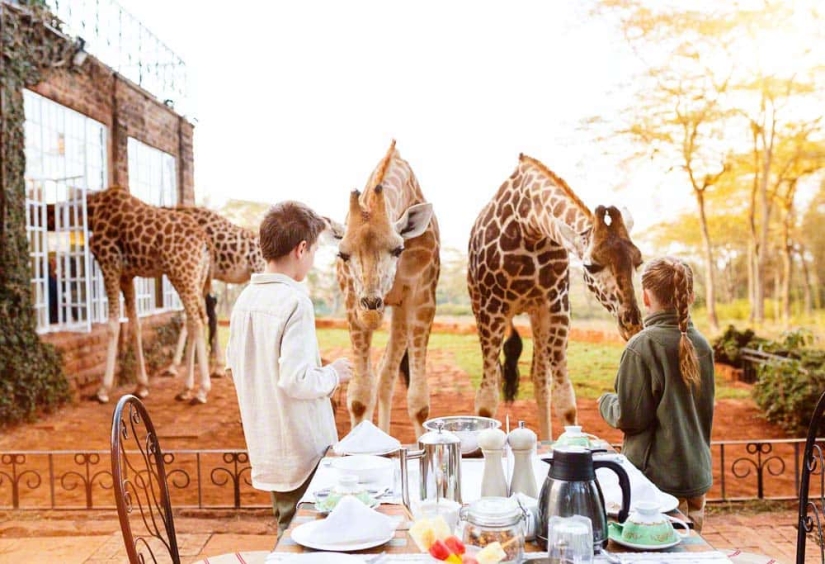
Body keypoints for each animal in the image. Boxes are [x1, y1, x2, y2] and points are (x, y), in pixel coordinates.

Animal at [82, 187, 214, 404]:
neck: (92, 211)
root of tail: (205, 242)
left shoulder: (108, 263)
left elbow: (112, 326)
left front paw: (103, 390)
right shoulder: (127, 275)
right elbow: (135, 324)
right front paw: (142, 386)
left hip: (182, 273)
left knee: (197, 320)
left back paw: (202, 391)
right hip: (197, 278)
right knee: (196, 319)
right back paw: (186, 389)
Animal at [330, 141, 440, 438]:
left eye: (398, 249)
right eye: (342, 254)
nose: (371, 308)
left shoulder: (421, 300)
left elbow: (420, 404)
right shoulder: (351, 300)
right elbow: (358, 397)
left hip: (401, 311)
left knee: (386, 375)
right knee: (381, 376)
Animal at [467, 154, 644, 440]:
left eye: (638, 261)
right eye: (590, 266)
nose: (631, 323)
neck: (530, 227)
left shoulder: (556, 305)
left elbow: (565, 400)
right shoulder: (492, 307)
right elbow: (485, 404)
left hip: (534, 313)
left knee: (540, 380)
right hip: (481, 306)